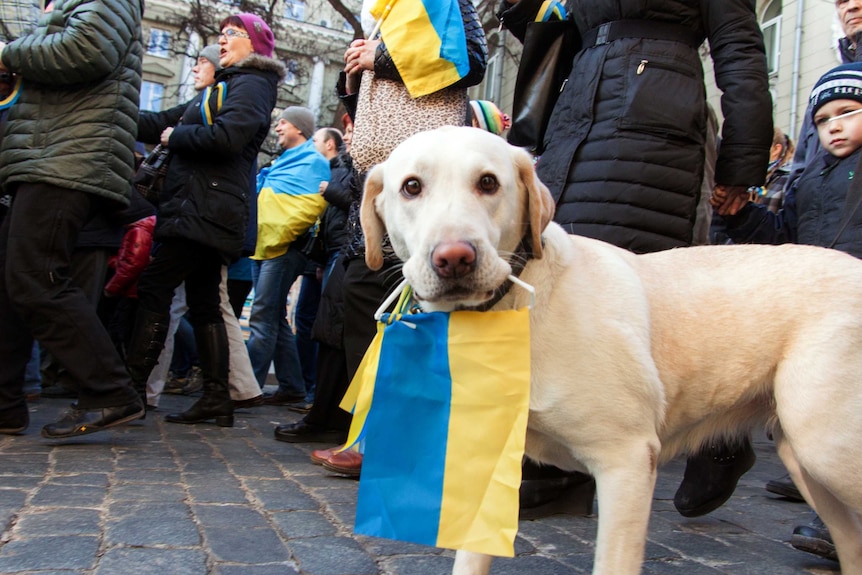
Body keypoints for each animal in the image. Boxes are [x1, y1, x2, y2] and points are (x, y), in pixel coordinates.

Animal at [360, 128, 862, 575]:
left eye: (488, 182)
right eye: (411, 187)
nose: (454, 258)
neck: (513, 308)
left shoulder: (628, 459)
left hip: (826, 446)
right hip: (806, 460)